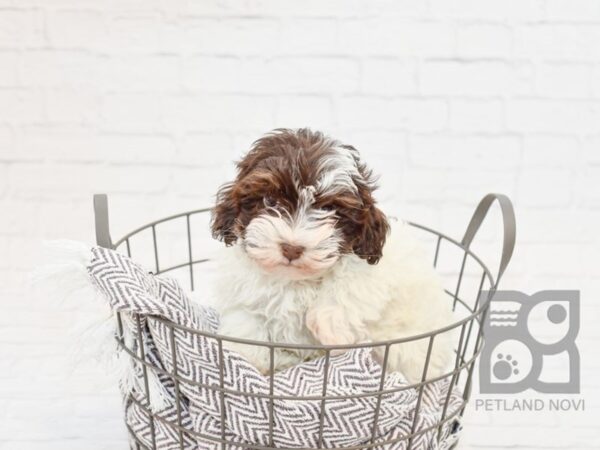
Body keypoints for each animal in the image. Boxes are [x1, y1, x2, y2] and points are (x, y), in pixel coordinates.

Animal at [209, 129, 452, 384]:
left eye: (327, 209)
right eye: (270, 201)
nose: (292, 248)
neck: (294, 280)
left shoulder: (374, 264)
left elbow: (350, 280)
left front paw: (330, 326)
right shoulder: (241, 288)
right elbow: (245, 318)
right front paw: (250, 357)